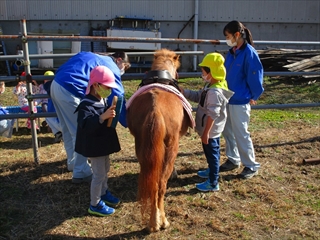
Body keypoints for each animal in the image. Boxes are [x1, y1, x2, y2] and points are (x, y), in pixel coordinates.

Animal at [127, 49, 192, 232]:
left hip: (142, 148)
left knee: (152, 183)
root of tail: (155, 108)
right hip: (171, 146)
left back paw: (152, 222)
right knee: (161, 185)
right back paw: (161, 222)